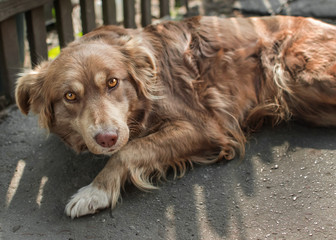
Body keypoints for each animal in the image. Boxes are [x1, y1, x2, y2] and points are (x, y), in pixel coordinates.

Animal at [15, 15, 336, 218]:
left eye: (113, 82)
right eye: (70, 96)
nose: (107, 138)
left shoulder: (205, 127)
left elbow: (130, 149)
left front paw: (96, 191)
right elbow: (131, 146)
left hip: (299, 73)